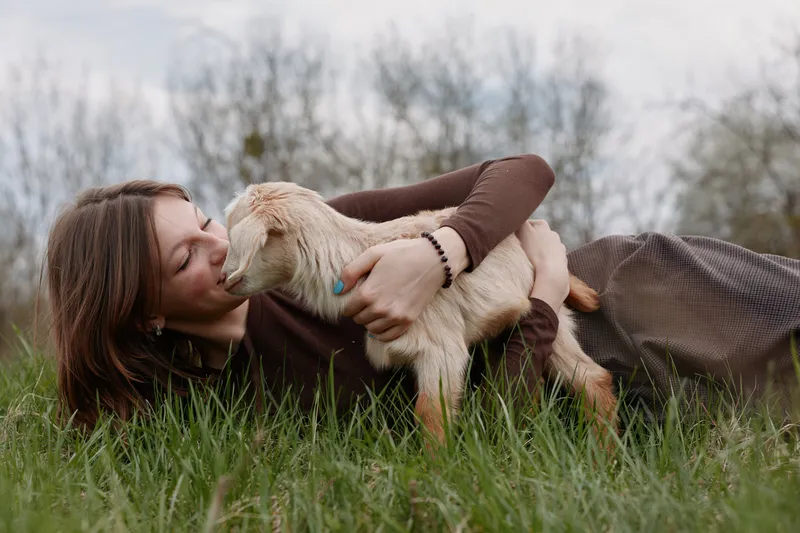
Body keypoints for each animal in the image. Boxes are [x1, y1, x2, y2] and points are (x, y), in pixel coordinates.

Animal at [220, 182, 618, 447]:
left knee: (593, 380)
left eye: (237, 237)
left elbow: (431, 416)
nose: (222, 278)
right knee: (592, 380)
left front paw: (436, 474)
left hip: (553, 315)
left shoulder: (441, 349)